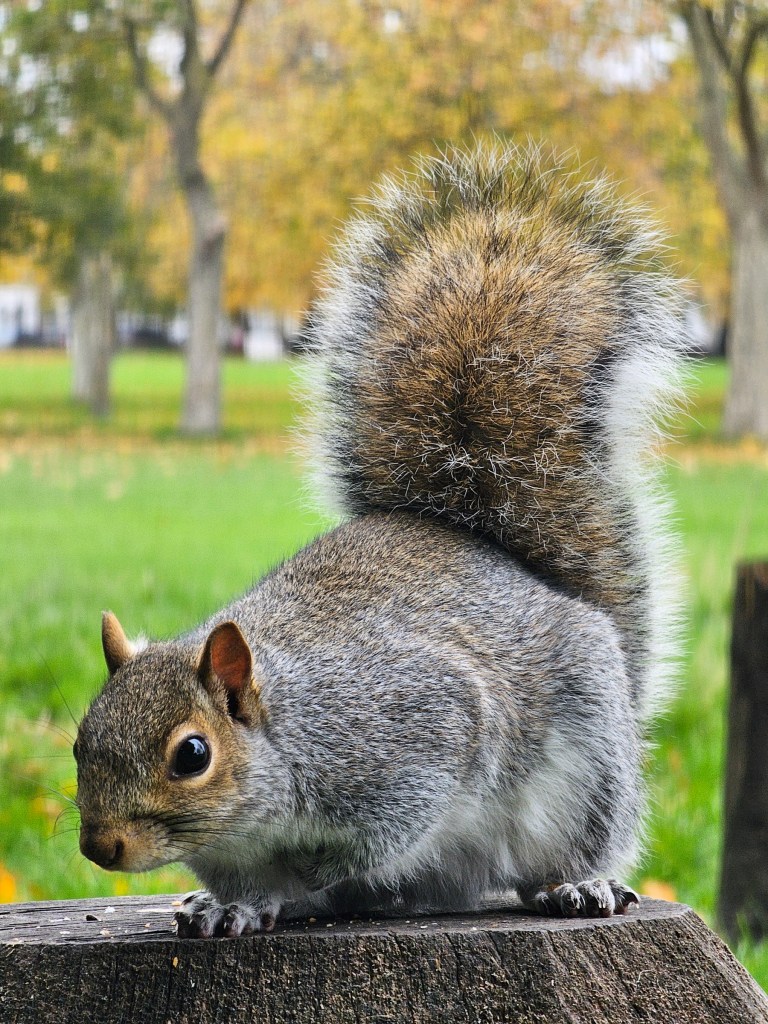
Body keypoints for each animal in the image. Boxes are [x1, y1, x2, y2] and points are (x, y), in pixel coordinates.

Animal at [74, 141, 685, 938]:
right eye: (81, 739)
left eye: (192, 755)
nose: (100, 846)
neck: (289, 725)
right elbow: (245, 883)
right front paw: (228, 904)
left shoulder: (410, 736)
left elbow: (376, 835)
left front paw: (302, 878)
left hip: (584, 778)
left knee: (561, 851)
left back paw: (575, 884)